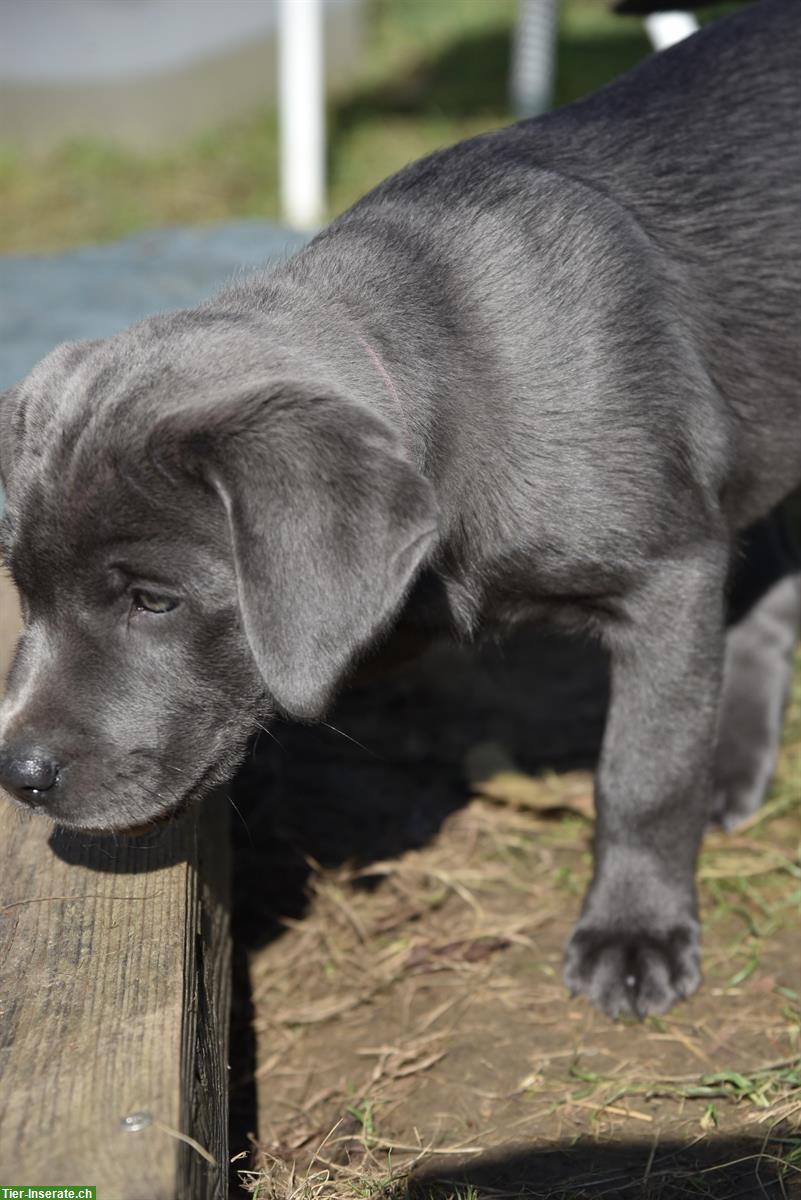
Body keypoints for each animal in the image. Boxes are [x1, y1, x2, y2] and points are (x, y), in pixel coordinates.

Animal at [1, 0, 801, 1017]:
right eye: (25, 594)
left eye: (154, 601)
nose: (17, 775)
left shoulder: (668, 577)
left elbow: (644, 767)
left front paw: (635, 930)